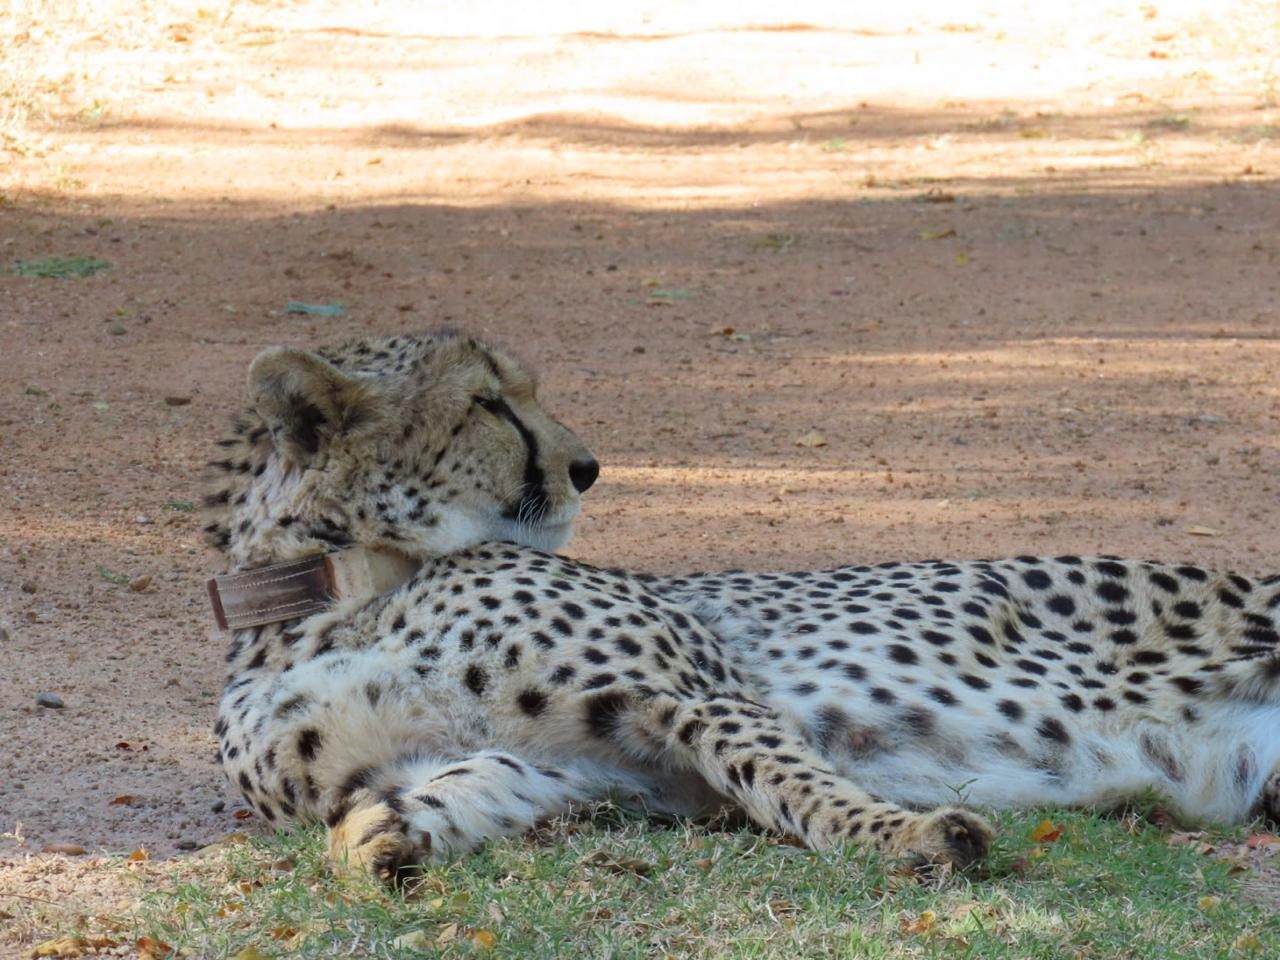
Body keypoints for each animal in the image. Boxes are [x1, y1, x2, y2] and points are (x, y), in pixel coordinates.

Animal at [204, 330, 1280, 884]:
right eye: (487, 402)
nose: (587, 467)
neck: (338, 591)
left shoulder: (694, 696)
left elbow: (792, 785)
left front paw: (907, 838)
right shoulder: (565, 765)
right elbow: (422, 799)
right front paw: (380, 838)